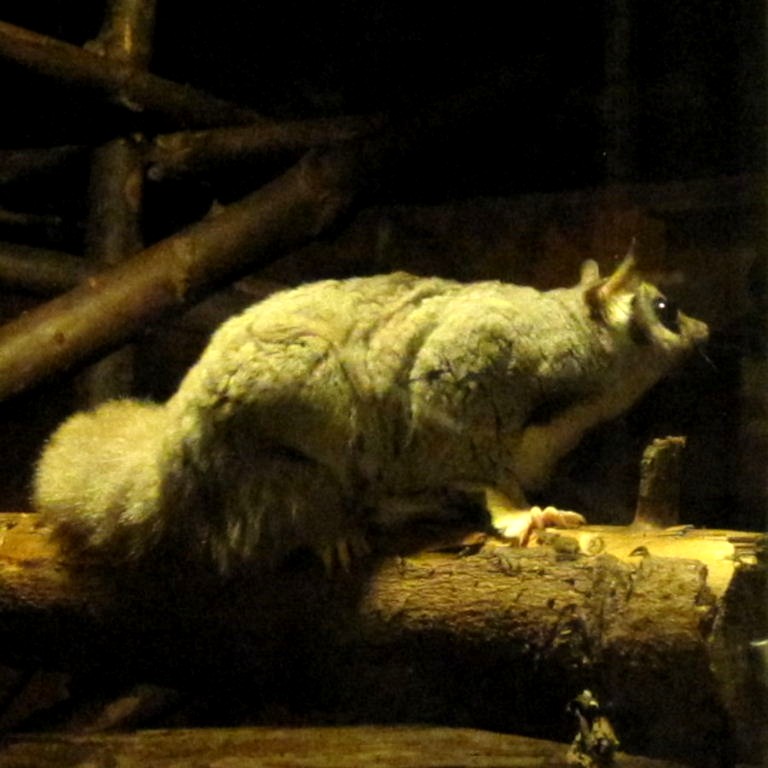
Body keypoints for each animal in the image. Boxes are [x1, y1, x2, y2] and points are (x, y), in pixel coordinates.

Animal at [33, 254, 708, 574]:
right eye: (667, 309)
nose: (705, 329)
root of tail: (172, 451)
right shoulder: (475, 359)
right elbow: (465, 436)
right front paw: (523, 514)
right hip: (281, 422)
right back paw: (332, 527)